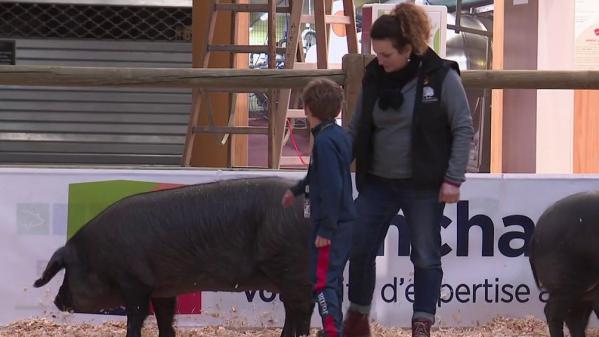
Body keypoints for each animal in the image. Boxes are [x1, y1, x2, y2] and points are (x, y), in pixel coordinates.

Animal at [33, 176, 314, 336]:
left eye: (68, 271)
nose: (57, 300)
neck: (98, 256)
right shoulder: (163, 289)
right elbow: (166, 320)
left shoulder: (134, 282)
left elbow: (136, 317)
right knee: (295, 310)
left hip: (290, 268)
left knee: (303, 309)